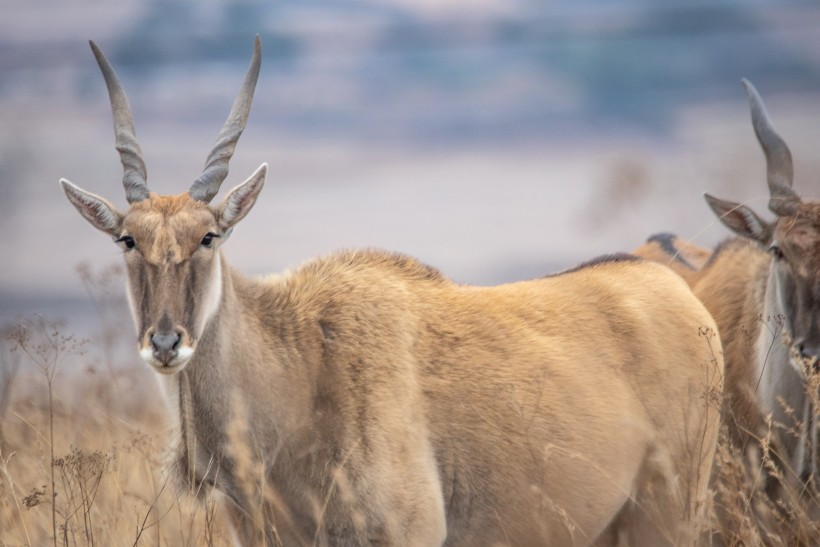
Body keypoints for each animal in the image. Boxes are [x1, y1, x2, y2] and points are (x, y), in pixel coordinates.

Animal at [59, 37, 724, 547]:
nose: (166, 342)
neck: (301, 360)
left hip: (670, 515)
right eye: (127, 238)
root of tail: (678, 294)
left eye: (208, 236)